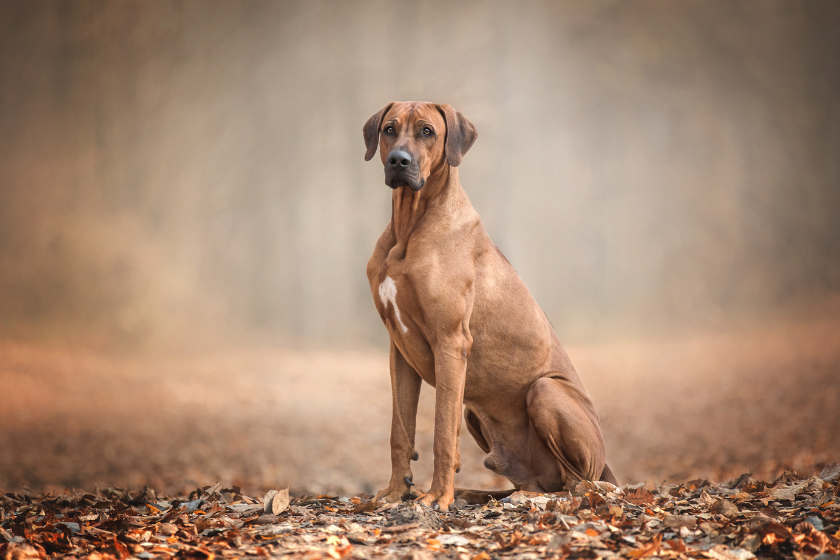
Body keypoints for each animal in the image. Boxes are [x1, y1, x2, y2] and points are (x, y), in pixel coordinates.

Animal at [362, 101, 616, 512]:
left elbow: (441, 433)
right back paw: (482, 494)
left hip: (545, 390)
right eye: (389, 129)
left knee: (578, 484)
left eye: (427, 131)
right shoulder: (398, 349)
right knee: (541, 480)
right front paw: (397, 492)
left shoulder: (451, 343)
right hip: (475, 414)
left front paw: (437, 496)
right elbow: (400, 430)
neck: (409, 224)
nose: (399, 160)